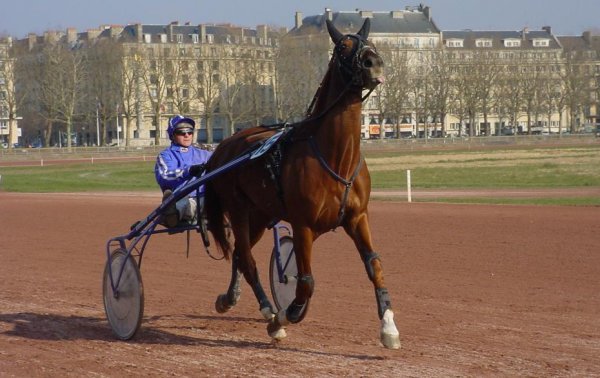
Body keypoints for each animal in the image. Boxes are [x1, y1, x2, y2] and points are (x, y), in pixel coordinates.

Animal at [204, 17, 400, 348]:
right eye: (343, 47)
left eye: (370, 42)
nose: (374, 63)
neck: (337, 157)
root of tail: (225, 145)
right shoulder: (303, 225)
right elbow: (305, 282)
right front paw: (284, 316)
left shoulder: (357, 218)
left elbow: (374, 265)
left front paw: (388, 327)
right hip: (239, 211)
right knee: (248, 260)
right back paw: (268, 311)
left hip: (261, 215)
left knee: (241, 258)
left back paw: (230, 298)